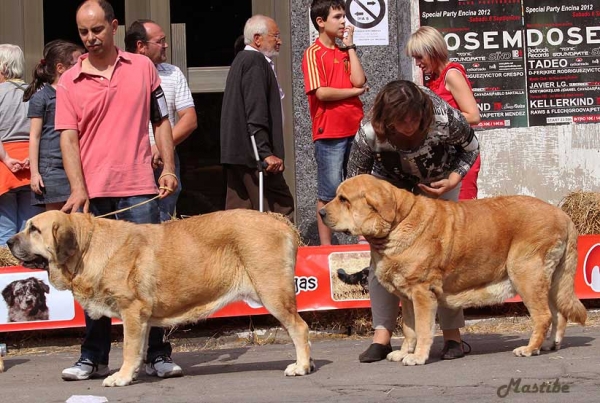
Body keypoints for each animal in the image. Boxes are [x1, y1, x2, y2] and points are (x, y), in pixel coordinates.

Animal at [7, 210, 314, 386]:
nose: (9, 241)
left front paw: (120, 378)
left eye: (34, 229)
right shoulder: (141, 318)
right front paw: (131, 374)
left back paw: (300, 366)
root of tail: (282, 222)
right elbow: (138, 349)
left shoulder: (132, 311)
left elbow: (129, 348)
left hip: (272, 291)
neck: (87, 247)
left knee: (299, 328)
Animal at [322, 175, 588, 368]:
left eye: (344, 199)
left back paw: (530, 349)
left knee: (543, 316)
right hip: (551, 280)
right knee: (558, 314)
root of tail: (564, 216)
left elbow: (423, 329)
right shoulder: (406, 298)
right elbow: (409, 329)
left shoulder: (422, 294)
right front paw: (403, 352)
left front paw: (417, 357)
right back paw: (549, 345)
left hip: (526, 275)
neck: (398, 222)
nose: (321, 212)